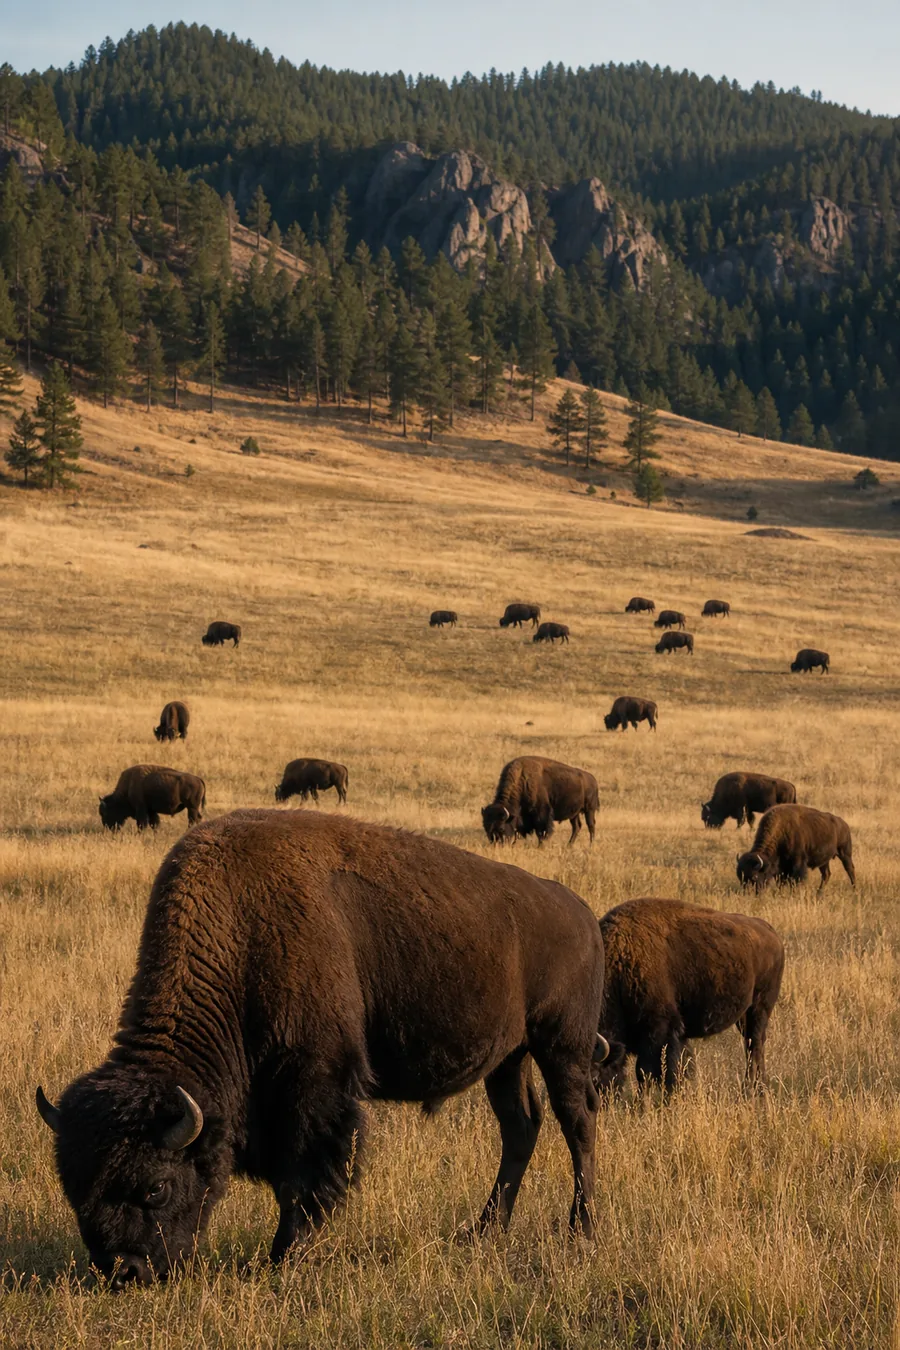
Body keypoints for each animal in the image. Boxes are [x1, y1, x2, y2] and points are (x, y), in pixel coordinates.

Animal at [36, 809, 608, 1282]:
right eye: (73, 1186)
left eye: (155, 1187)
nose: (123, 1271)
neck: (239, 932)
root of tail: (580, 911)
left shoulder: (315, 1085)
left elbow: (306, 1176)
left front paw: (284, 1257)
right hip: (508, 1058)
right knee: (520, 1128)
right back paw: (484, 1229)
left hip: (563, 1045)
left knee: (577, 1123)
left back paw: (581, 1227)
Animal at [594, 898, 784, 1092]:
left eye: (593, 1076)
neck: (621, 963)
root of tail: (771, 933)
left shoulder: (660, 1029)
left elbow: (649, 1070)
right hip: (744, 1016)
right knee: (751, 1044)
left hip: (759, 1008)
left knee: (755, 1045)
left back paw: (753, 1087)